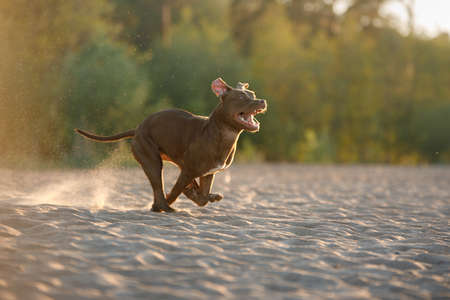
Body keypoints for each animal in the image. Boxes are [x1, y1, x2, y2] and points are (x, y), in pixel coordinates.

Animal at [75, 78, 268, 212]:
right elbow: (176, 192)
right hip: (153, 162)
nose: (262, 101)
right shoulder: (188, 171)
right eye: (242, 96)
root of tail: (137, 129)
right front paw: (185, 194)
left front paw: (199, 194)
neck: (223, 133)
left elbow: (203, 197)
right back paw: (165, 207)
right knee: (159, 192)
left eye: (253, 94)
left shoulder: (207, 174)